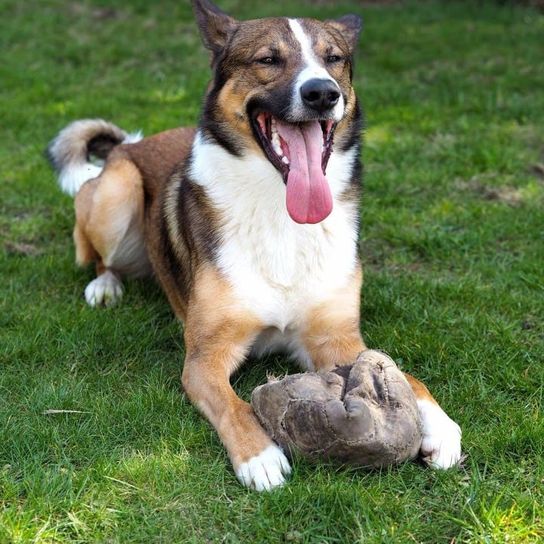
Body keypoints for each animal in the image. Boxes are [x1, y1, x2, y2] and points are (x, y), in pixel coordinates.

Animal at [47, 0, 464, 490]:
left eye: (334, 59)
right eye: (268, 59)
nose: (322, 94)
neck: (279, 209)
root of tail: (130, 145)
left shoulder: (338, 338)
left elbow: (404, 373)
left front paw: (440, 425)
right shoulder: (203, 359)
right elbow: (234, 404)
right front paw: (259, 456)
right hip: (117, 193)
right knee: (98, 256)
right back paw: (105, 286)